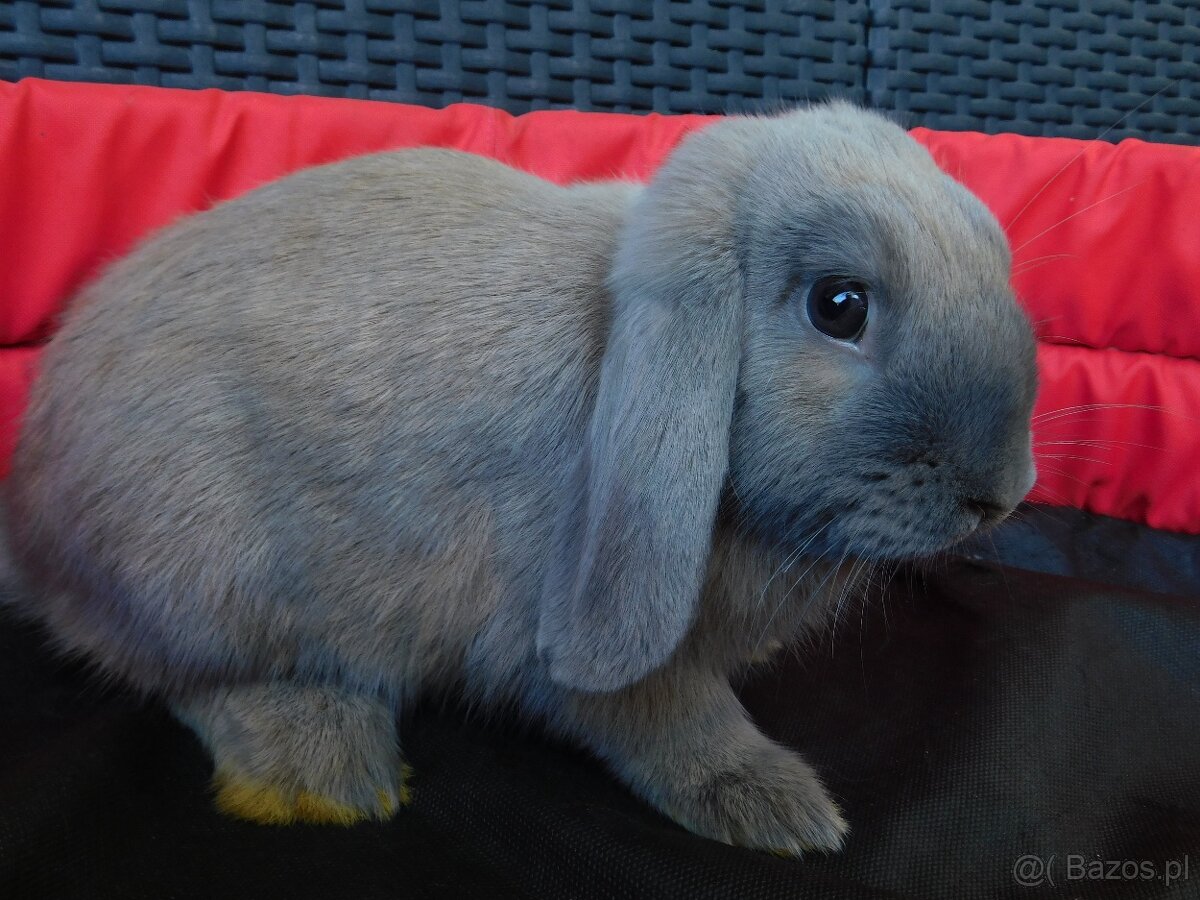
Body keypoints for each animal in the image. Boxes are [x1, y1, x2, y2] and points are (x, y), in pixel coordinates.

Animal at [0, 102, 1036, 854]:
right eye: (839, 305)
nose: (1003, 492)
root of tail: (31, 520)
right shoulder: (598, 649)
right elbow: (674, 721)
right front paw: (781, 809)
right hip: (202, 572)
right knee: (181, 673)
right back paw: (324, 768)